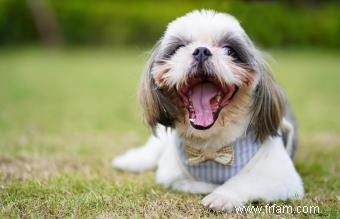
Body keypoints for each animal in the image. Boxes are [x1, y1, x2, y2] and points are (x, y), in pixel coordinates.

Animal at [113, 9, 304, 212]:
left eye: (229, 50)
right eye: (179, 47)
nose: (201, 51)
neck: (211, 145)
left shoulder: (280, 175)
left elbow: (245, 180)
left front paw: (221, 196)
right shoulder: (172, 175)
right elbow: (190, 182)